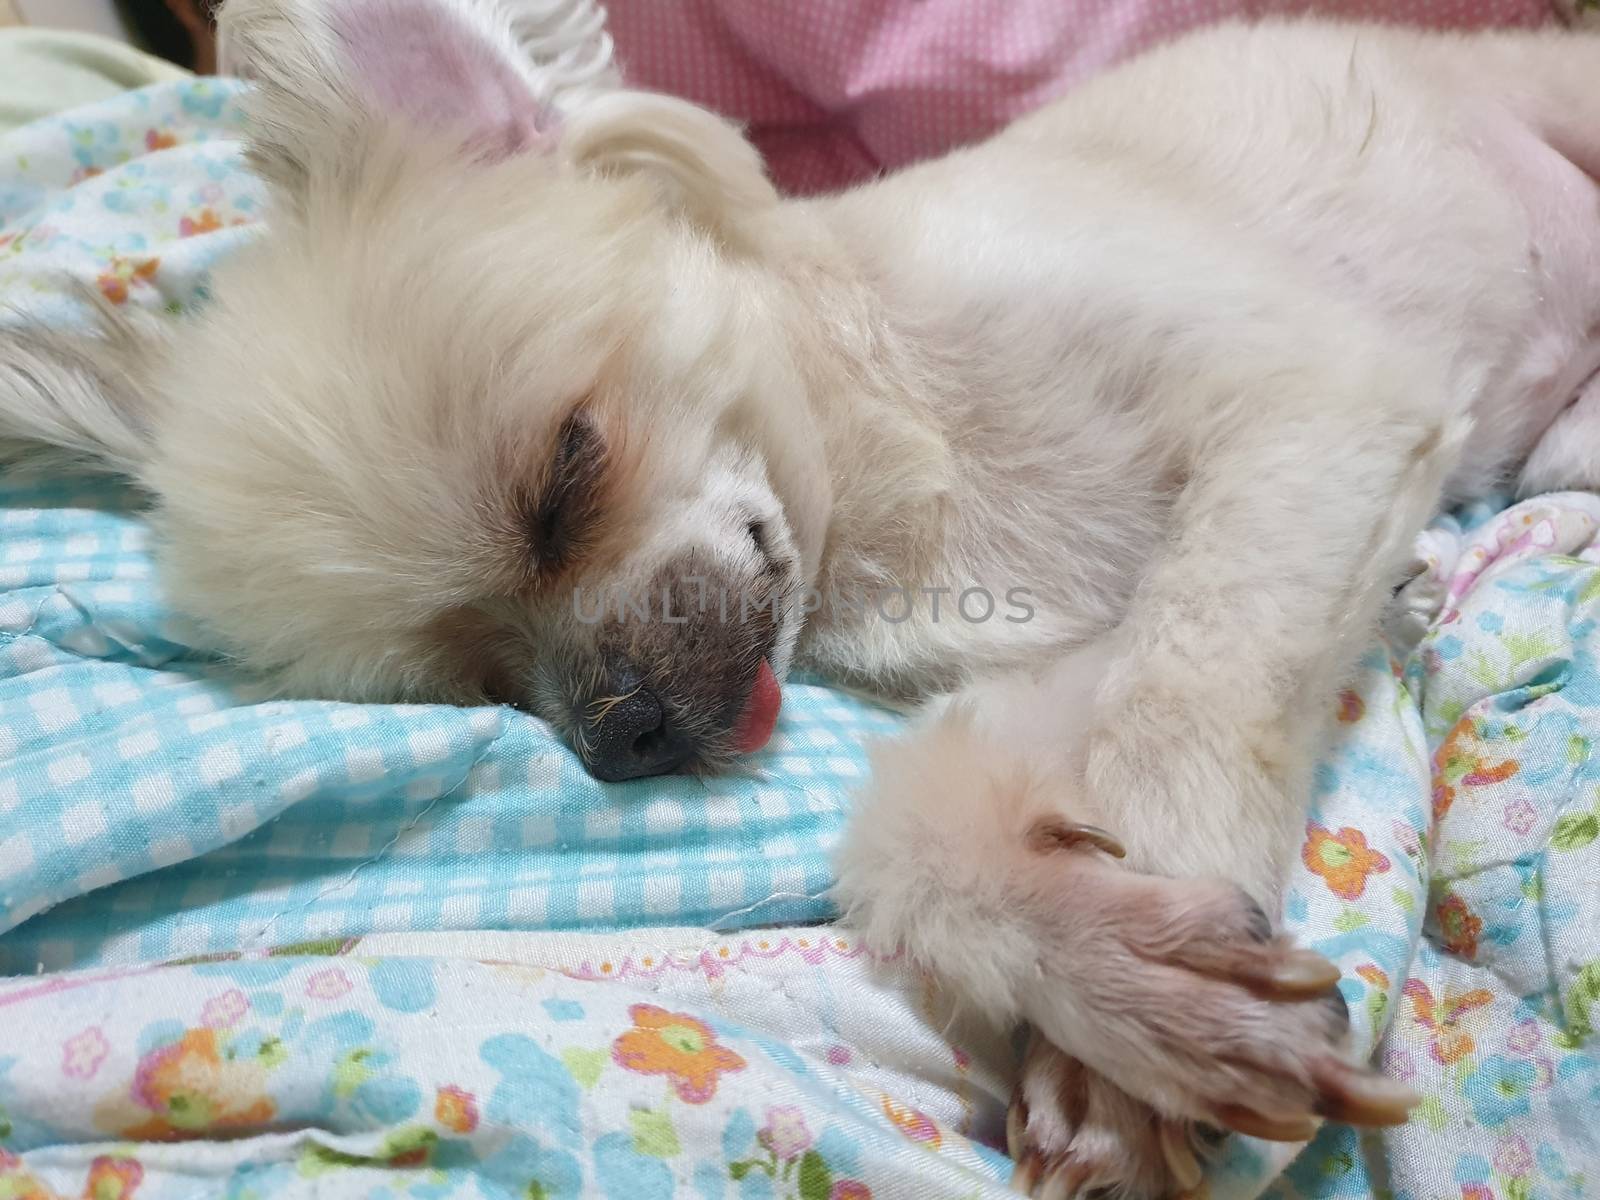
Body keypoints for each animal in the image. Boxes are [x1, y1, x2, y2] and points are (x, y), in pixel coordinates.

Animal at [3, 0, 1600, 1196]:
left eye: (564, 478)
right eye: (476, 681)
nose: (621, 735)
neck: (892, 466)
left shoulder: (1312, 416)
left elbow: (1187, 701)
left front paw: (1120, 1042)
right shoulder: (1063, 645)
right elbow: (914, 830)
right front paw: (1105, 968)